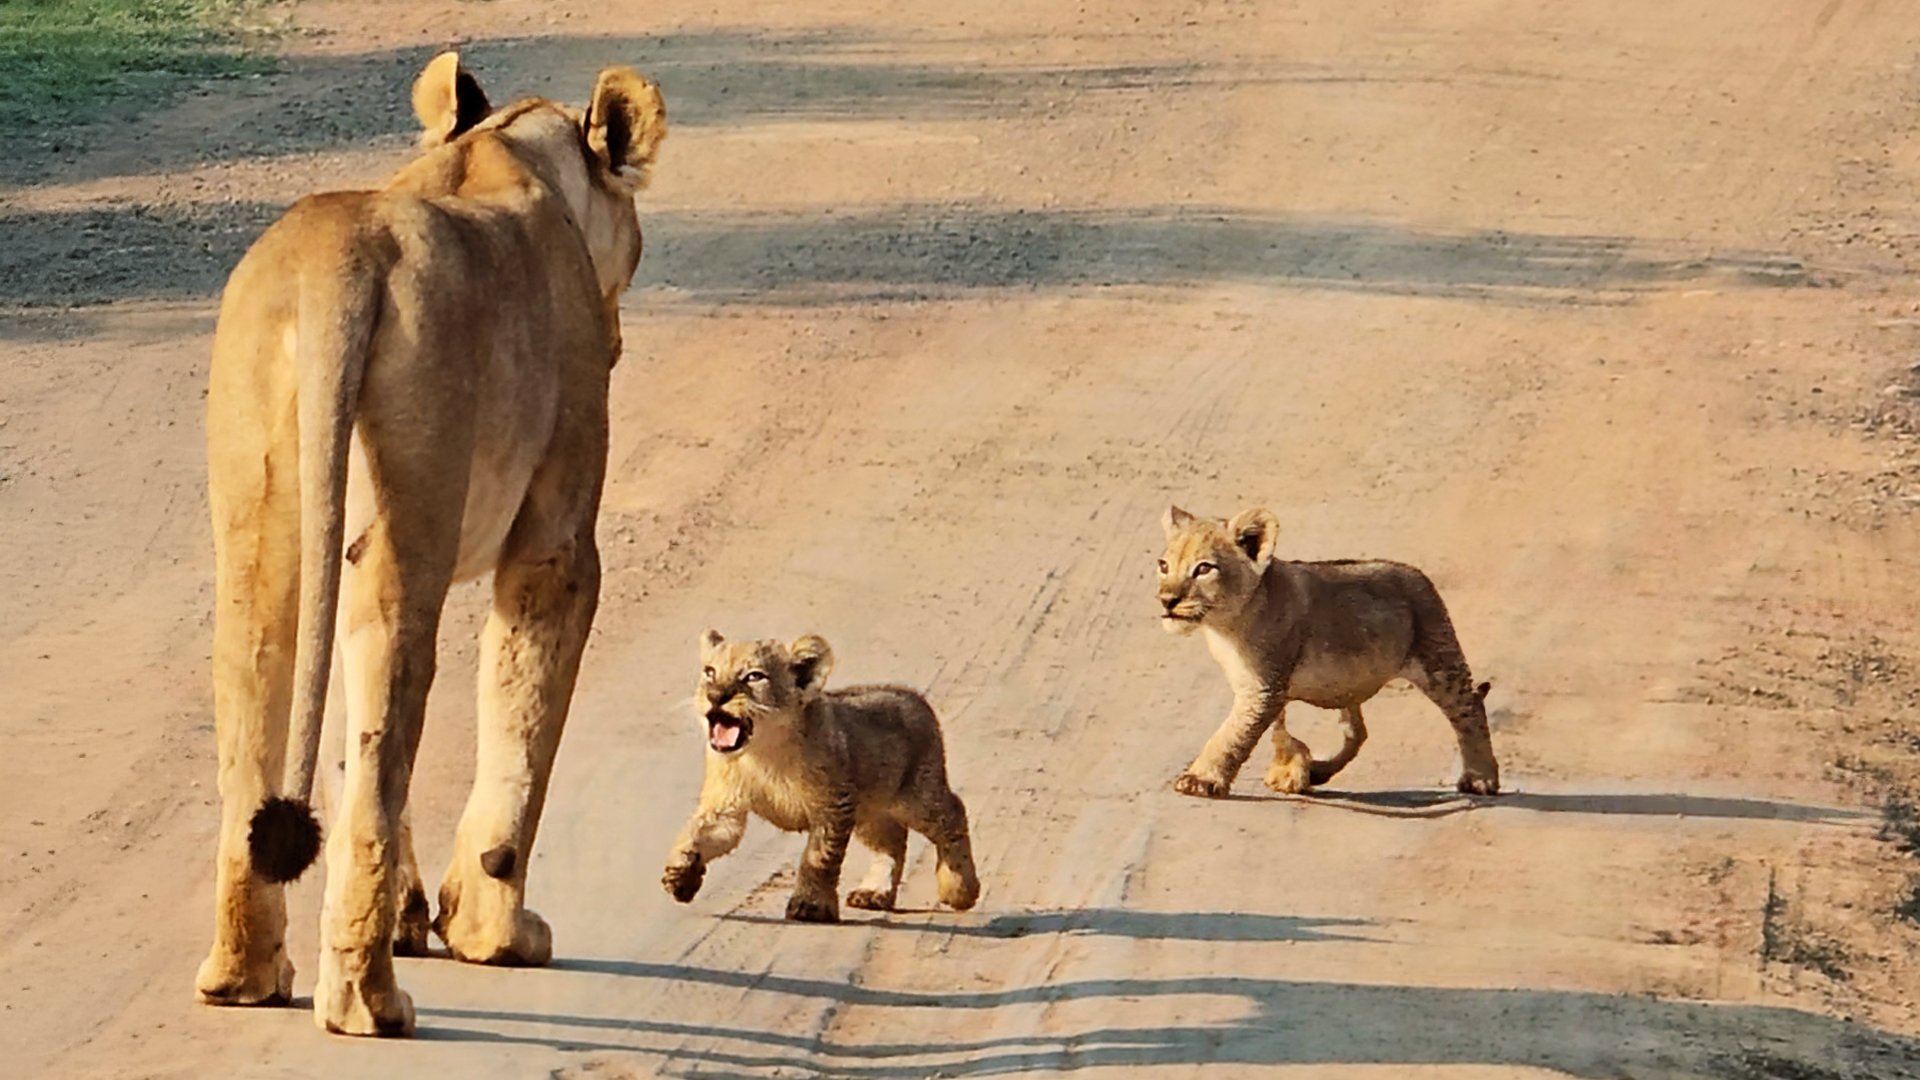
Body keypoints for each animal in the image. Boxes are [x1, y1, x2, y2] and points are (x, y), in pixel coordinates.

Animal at [193, 52, 666, 1038]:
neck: (505, 153)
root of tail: (335, 259)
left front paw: (417, 918)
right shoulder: (557, 544)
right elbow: (522, 727)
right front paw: (493, 931)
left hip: (268, 527)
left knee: (264, 708)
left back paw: (246, 976)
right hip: (412, 508)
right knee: (384, 740)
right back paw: (368, 1000)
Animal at [661, 630, 981, 922]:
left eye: (754, 676)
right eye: (710, 672)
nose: (714, 696)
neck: (764, 753)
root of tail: (914, 696)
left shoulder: (834, 805)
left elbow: (819, 858)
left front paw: (810, 905)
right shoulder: (725, 806)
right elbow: (697, 833)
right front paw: (680, 876)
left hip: (916, 794)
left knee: (953, 813)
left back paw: (960, 889)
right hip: (870, 810)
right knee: (892, 840)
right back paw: (874, 893)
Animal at [1156, 505, 1500, 798]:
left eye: (1203, 568)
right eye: (1164, 566)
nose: (1167, 600)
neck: (1225, 626)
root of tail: (1418, 574)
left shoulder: (1263, 687)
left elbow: (1231, 734)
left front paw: (1200, 779)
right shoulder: (1269, 687)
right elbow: (1277, 730)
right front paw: (1290, 770)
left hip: (1438, 659)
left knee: (1469, 708)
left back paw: (1481, 779)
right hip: (1349, 685)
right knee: (1357, 732)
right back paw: (1319, 771)